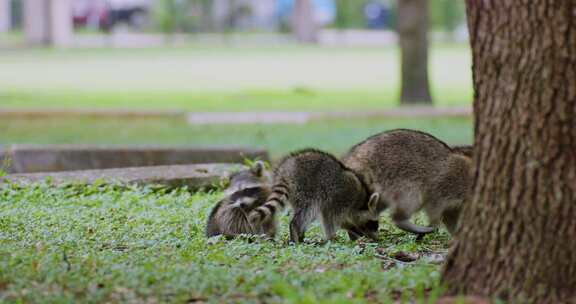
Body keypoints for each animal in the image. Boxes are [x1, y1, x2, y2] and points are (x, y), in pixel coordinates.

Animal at [246, 148, 382, 243]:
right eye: (373, 223)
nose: (376, 238)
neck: (360, 201)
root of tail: (286, 170)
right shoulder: (341, 198)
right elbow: (333, 219)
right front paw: (336, 235)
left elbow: (328, 217)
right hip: (306, 188)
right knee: (307, 211)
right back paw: (295, 230)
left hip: (297, 194)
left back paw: (300, 234)